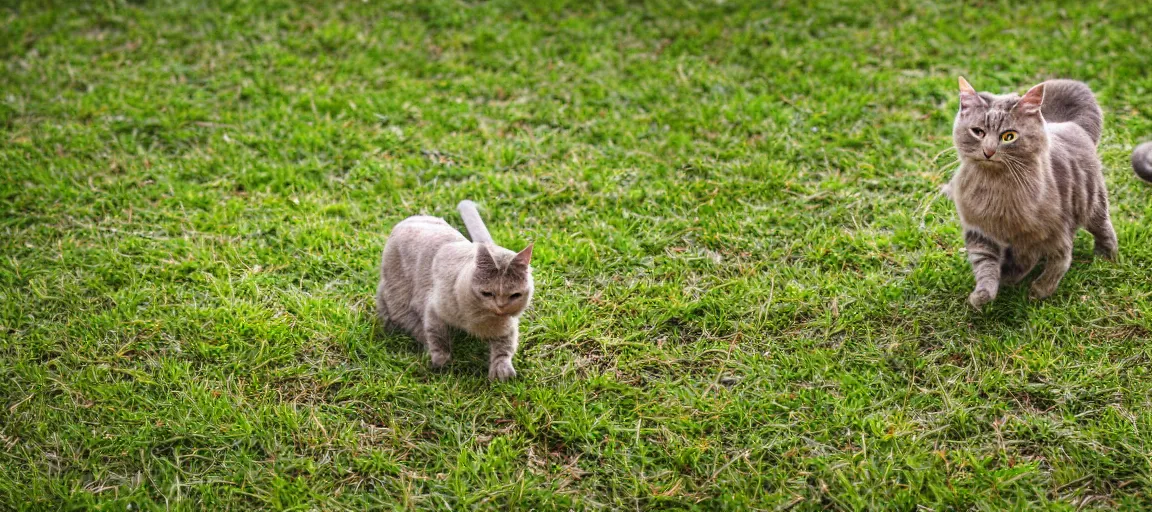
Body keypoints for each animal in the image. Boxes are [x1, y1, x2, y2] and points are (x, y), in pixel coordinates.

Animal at [377, 199, 539, 380]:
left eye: (515, 295)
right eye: (487, 293)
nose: (501, 306)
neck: (480, 319)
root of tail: (408, 219)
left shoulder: (507, 326)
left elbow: (505, 346)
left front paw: (501, 370)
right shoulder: (434, 310)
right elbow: (436, 336)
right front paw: (441, 361)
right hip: (396, 296)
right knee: (405, 319)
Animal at [944, 75, 1115, 309]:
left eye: (1008, 136)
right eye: (978, 132)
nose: (989, 151)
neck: (996, 188)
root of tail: (1071, 124)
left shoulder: (1047, 229)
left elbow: (1058, 258)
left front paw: (1039, 289)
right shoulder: (980, 231)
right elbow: (985, 265)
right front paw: (983, 295)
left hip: (1090, 203)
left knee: (1097, 233)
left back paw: (1105, 258)